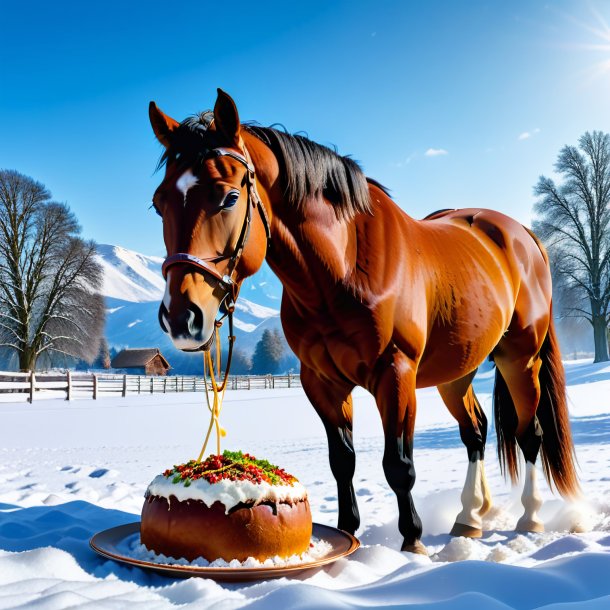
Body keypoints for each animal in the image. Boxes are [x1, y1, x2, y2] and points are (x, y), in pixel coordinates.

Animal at [147, 89, 576, 552]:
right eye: (158, 203)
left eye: (228, 197)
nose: (181, 316)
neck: (343, 265)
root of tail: (521, 235)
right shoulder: (322, 382)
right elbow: (343, 461)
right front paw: (347, 533)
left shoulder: (396, 375)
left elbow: (399, 464)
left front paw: (412, 542)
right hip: (456, 370)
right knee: (475, 432)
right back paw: (469, 518)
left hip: (520, 358)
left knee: (529, 432)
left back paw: (530, 516)